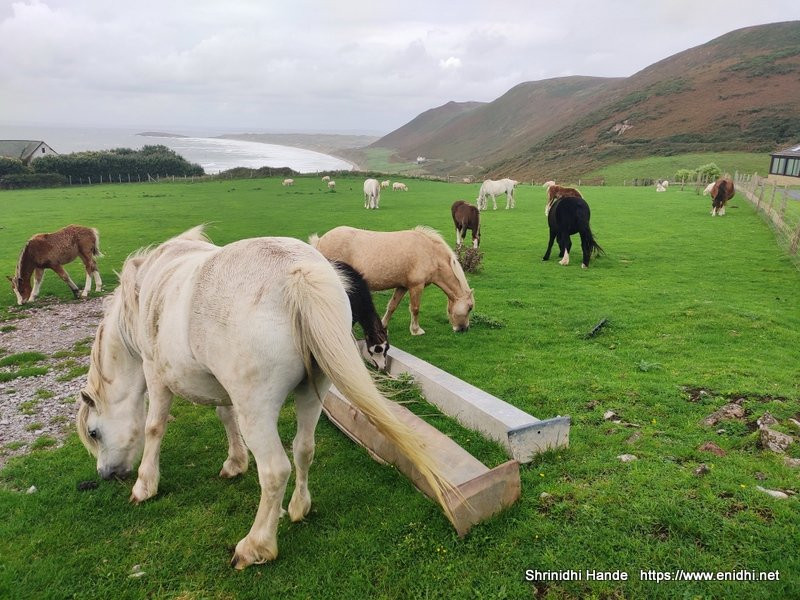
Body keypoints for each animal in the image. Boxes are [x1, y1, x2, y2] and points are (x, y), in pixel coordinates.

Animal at [77, 227, 454, 568]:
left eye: (94, 432)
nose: (107, 474)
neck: (144, 292)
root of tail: (297, 272)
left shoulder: (156, 375)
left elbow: (154, 428)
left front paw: (145, 485)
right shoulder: (222, 387)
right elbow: (225, 416)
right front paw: (235, 462)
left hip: (257, 411)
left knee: (275, 470)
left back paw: (256, 546)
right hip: (312, 394)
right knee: (304, 448)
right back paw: (299, 508)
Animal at [308, 226, 472, 338]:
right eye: (470, 308)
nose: (463, 329)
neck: (430, 252)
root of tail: (319, 241)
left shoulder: (402, 286)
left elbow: (392, 306)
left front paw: (384, 327)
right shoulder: (416, 286)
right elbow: (415, 308)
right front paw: (416, 330)